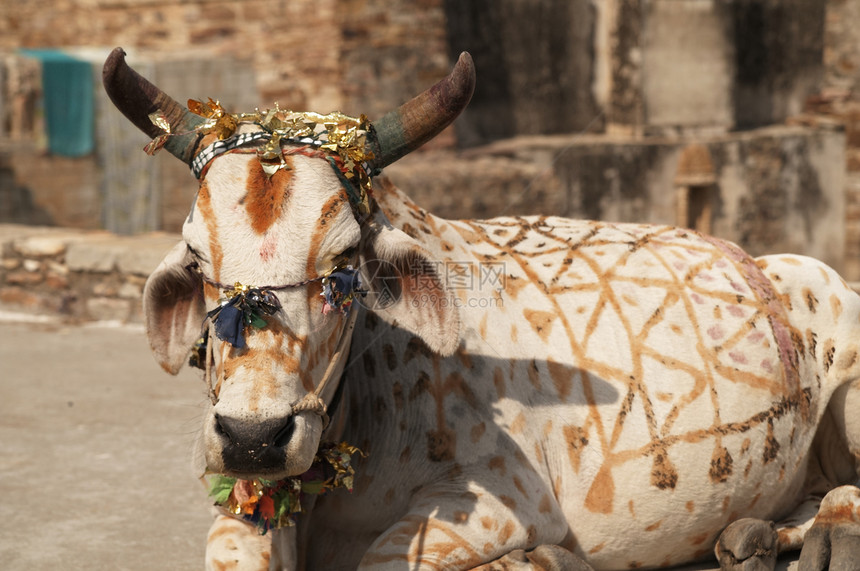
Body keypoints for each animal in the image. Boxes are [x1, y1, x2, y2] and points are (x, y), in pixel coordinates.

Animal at [104, 45, 860, 571]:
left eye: (345, 261)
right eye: (197, 257)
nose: (253, 437)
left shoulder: (505, 497)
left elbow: (384, 558)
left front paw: (539, 559)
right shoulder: (246, 502)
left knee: (847, 492)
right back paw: (752, 533)